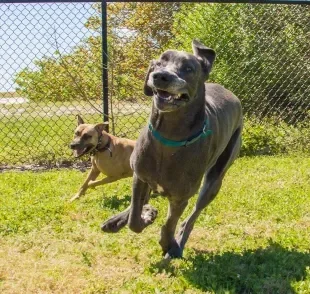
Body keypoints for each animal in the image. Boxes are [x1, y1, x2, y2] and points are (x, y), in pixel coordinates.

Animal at [101, 40, 242, 258]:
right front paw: (145, 215)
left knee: (193, 215)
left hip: (216, 178)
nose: (160, 76)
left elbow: (169, 224)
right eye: (159, 62)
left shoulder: (180, 196)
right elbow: (134, 218)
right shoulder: (139, 176)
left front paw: (168, 243)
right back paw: (118, 220)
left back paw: (179, 240)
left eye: (189, 68)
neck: (169, 136)